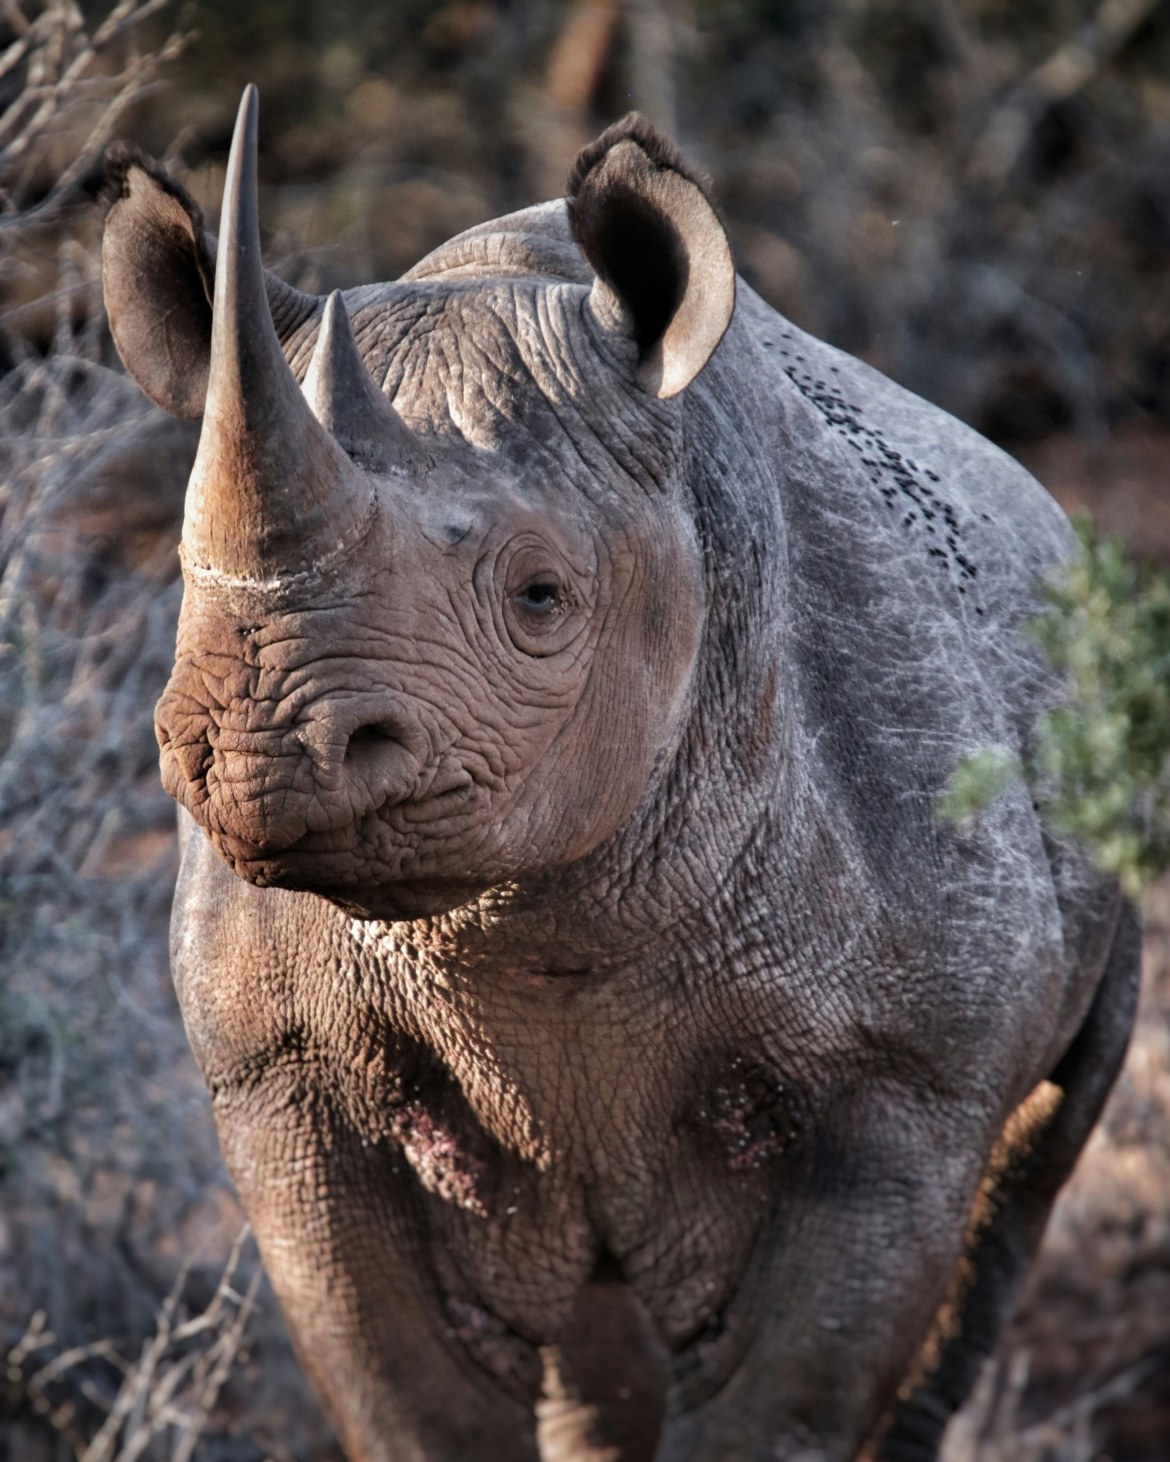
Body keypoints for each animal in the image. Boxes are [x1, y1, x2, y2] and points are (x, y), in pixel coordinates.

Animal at [100, 86, 1139, 1461]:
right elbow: (408, 1399)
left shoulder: (908, 1073)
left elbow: (782, 1403)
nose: (265, 749)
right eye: (185, 580)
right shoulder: (279, 1072)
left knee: (1017, 1193)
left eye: (542, 597)